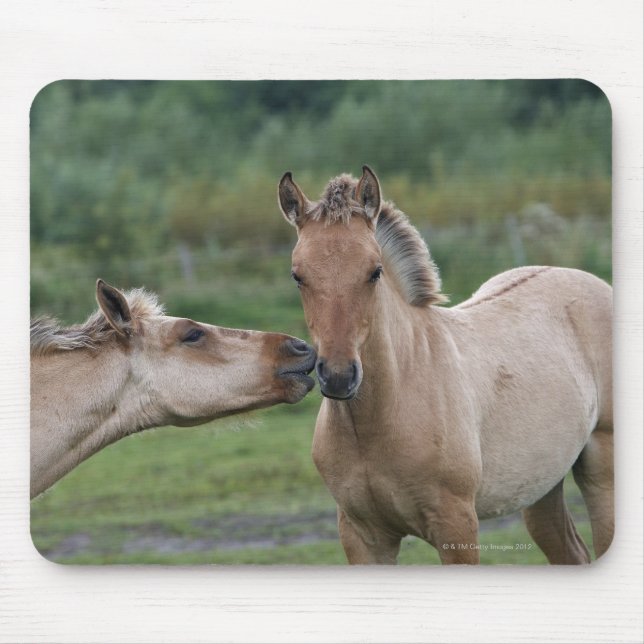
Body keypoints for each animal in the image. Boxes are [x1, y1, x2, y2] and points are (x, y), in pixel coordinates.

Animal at [278, 166, 613, 565]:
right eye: (298, 276)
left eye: (375, 271)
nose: (339, 377)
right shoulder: (362, 535)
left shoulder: (456, 526)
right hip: (541, 484)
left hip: (601, 473)